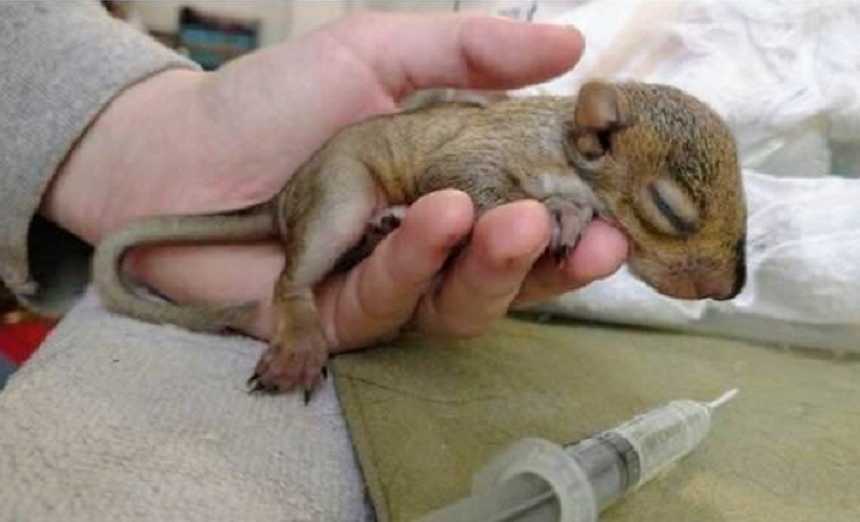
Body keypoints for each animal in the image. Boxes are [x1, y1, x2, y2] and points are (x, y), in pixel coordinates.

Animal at [93, 81, 747, 401]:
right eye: (669, 209)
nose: (733, 287)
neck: (561, 145)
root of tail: (284, 197)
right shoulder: (485, 152)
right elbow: (463, 177)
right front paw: (561, 212)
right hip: (339, 192)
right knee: (290, 282)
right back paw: (301, 339)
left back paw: (385, 230)